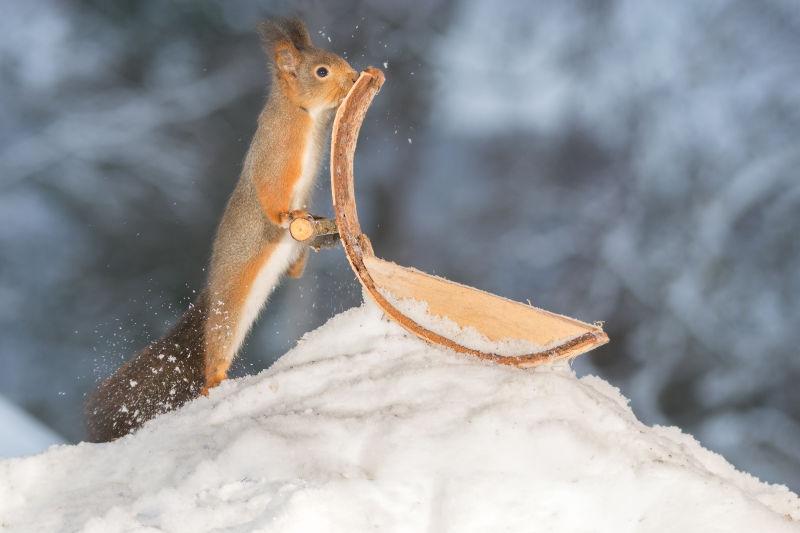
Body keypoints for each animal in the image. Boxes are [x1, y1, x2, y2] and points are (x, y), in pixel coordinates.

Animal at [86, 17, 356, 440]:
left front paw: (313, 227)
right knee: (212, 361)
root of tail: (213, 292)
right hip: (227, 317)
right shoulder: (274, 158)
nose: (355, 76)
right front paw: (286, 218)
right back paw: (218, 384)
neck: (305, 117)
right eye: (322, 72)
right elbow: (270, 194)